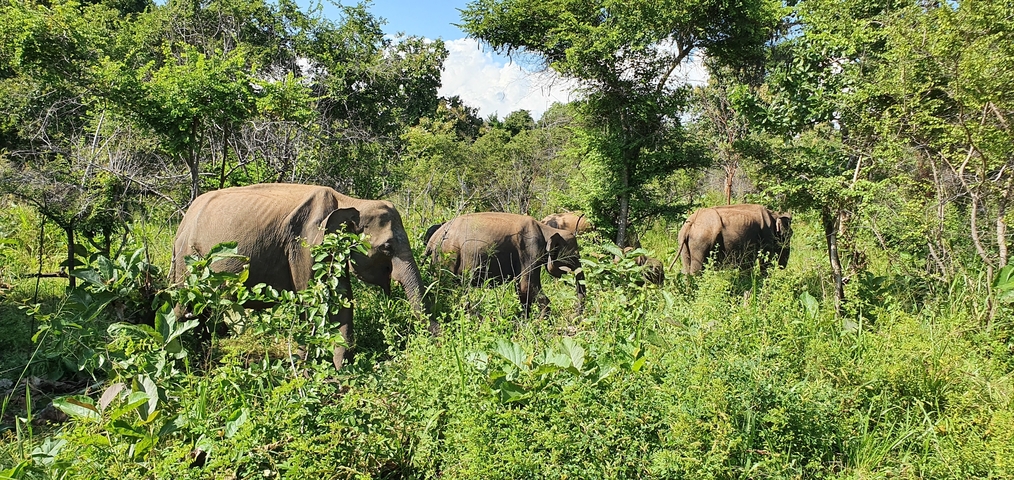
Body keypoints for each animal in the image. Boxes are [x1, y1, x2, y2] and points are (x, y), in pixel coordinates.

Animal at [170, 183, 427, 369]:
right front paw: (307, 369)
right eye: (387, 247)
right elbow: (310, 299)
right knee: (186, 308)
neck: (350, 201)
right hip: (188, 260)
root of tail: (183, 222)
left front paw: (342, 369)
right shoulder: (305, 245)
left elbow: (342, 299)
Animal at [424, 212, 586, 317]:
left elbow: (521, 290)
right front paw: (541, 323)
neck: (546, 229)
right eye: (575, 256)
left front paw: (525, 321)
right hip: (447, 257)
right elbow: (528, 287)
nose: (575, 316)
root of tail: (433, 239)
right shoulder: (530, 250)